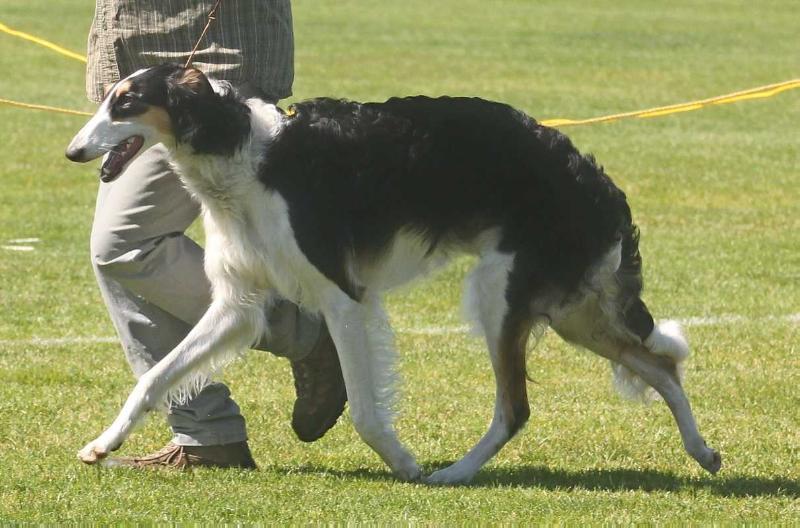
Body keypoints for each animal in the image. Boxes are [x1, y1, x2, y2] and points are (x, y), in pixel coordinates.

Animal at [65, 64, 720, 484]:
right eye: (106, 98)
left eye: (125, 102)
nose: (73, 151)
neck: (243, 155)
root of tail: (596, 181)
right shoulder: (237, 304)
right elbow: (154, 379)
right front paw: (103, 444)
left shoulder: (342, 297)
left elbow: (364, 410)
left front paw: (403, 463)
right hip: (569, 312)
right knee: (660, 366)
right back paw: (703, 452)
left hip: (501, 294)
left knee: (517, 407)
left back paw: (453, 474)